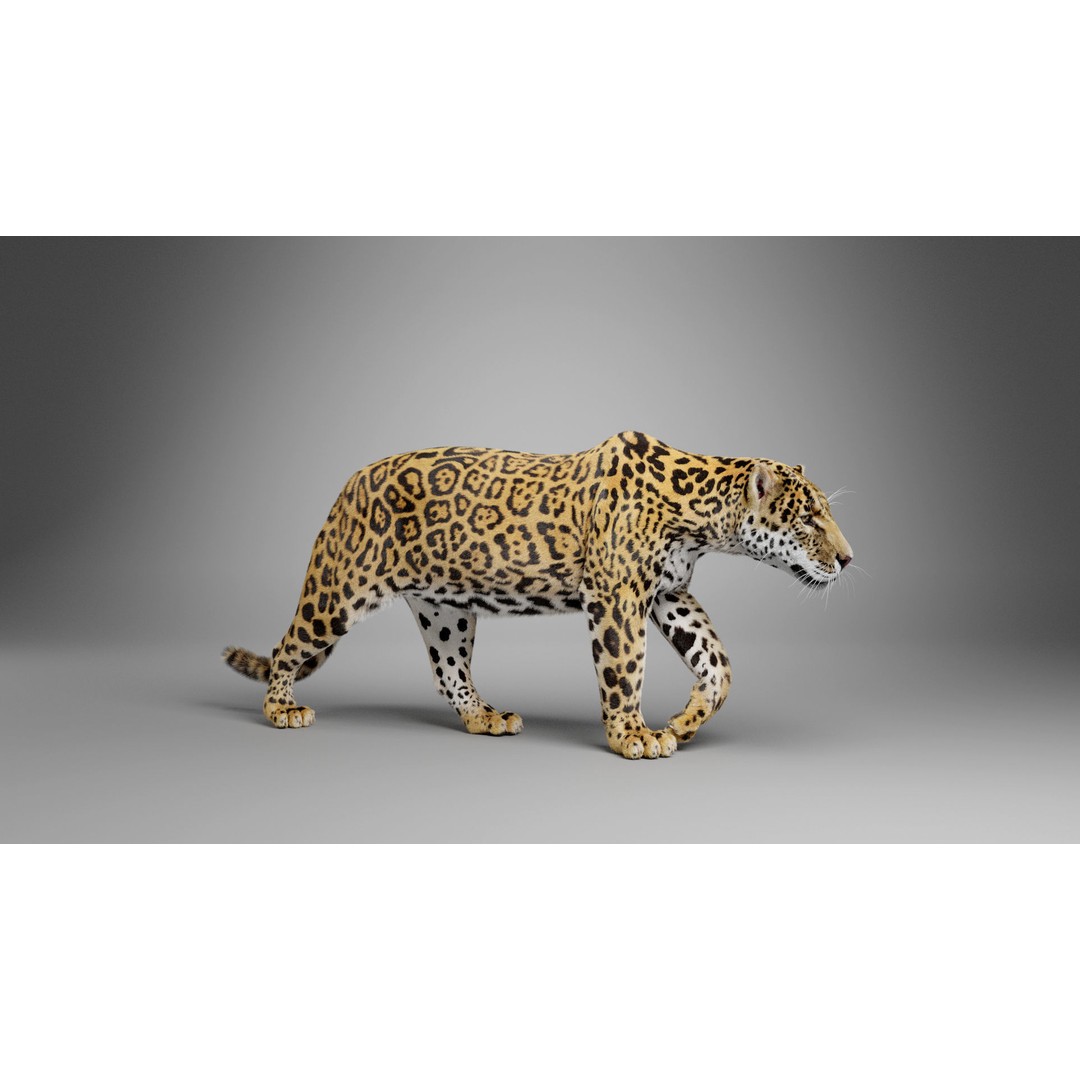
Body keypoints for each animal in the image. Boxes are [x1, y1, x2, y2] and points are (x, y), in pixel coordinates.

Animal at [223, 431, 853, 759]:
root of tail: (351, 480)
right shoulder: (618, 596)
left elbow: (718, 663)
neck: (699, 517)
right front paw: (633, 736)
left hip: (445, 607)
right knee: (287, 647)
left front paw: (684, 721)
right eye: (811, 520)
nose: (848, 559)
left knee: (449, 670)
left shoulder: (667, 594)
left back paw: (486, 718)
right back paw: (282, 710)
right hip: (338, 591)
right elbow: (626, 669)